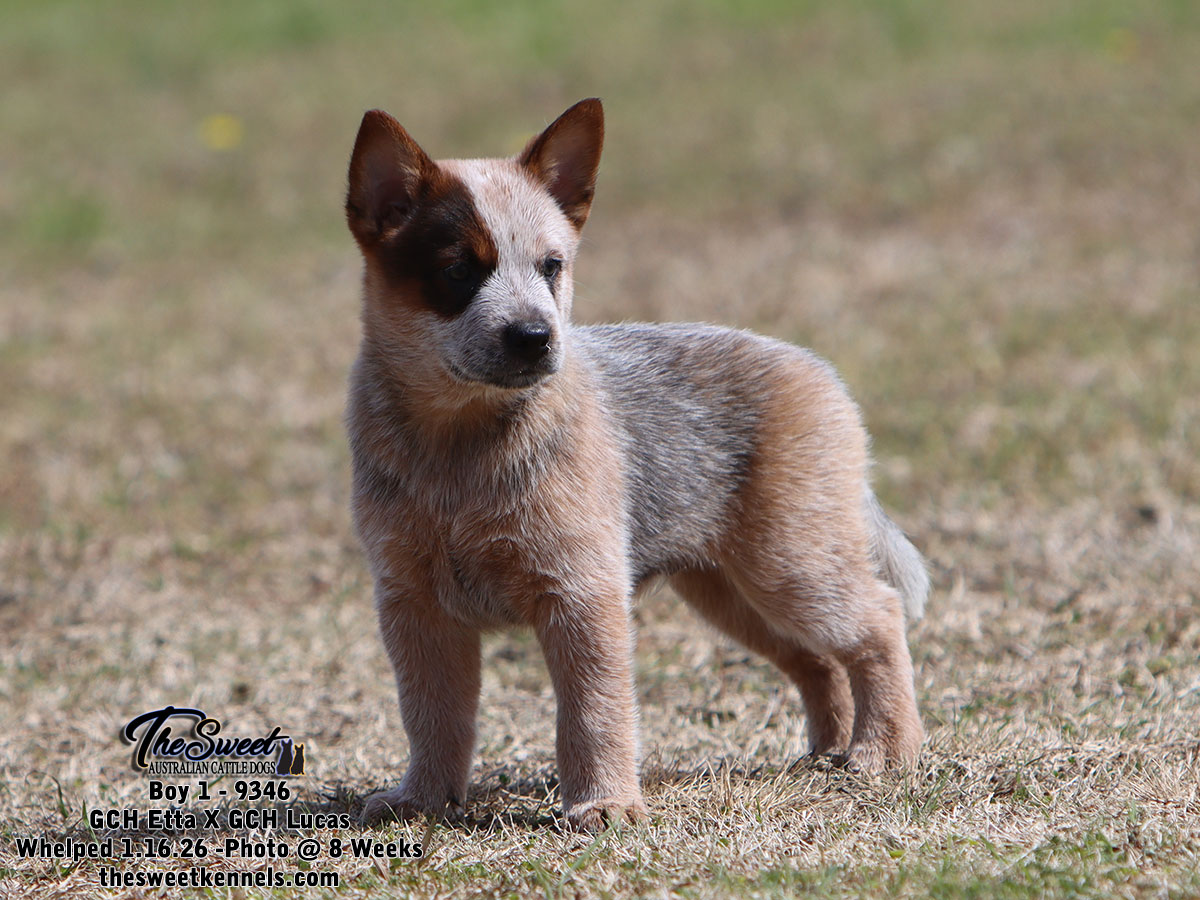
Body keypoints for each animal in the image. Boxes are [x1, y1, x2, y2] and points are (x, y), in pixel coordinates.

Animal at [344, 99, 928, 832]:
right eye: (457, 269)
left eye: (552, 266)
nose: (536, 337)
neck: (459, 449)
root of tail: (821, 373)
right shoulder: (414, 604)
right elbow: (430, 713)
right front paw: (421, 800)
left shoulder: (582, 592)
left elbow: (594, 710)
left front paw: (606, 803)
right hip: (728, 589)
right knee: (814, 659)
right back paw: (826, 751)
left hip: (792, 562)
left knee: (878, 619)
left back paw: (884, 751)